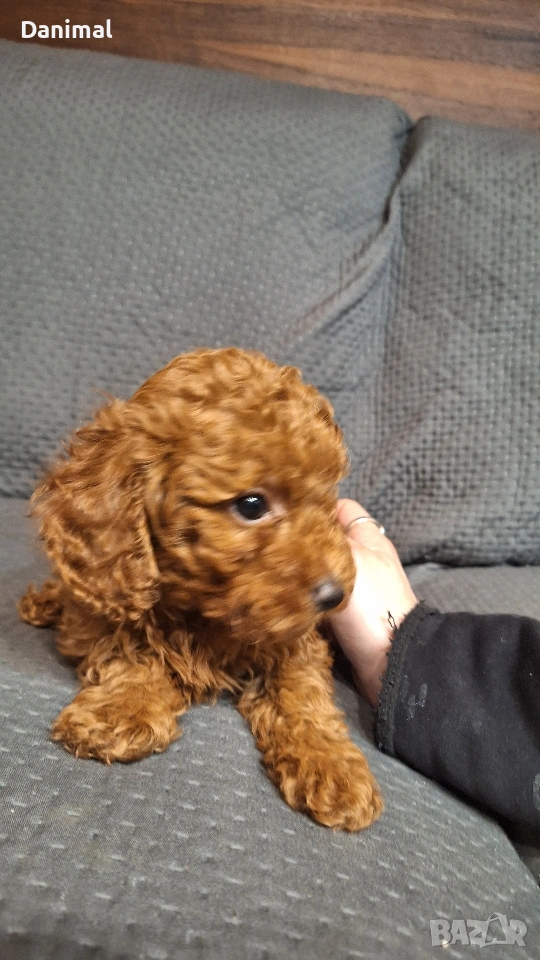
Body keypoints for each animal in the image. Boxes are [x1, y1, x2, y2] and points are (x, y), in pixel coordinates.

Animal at [19, 348, 382, 830]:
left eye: (327, 497)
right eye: (252, 505)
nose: (334, 596)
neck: (206, 611)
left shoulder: (296, 638)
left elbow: (303, 692)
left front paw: (331, 764)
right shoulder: (114, 602)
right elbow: (130, 650)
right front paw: (121, 708)